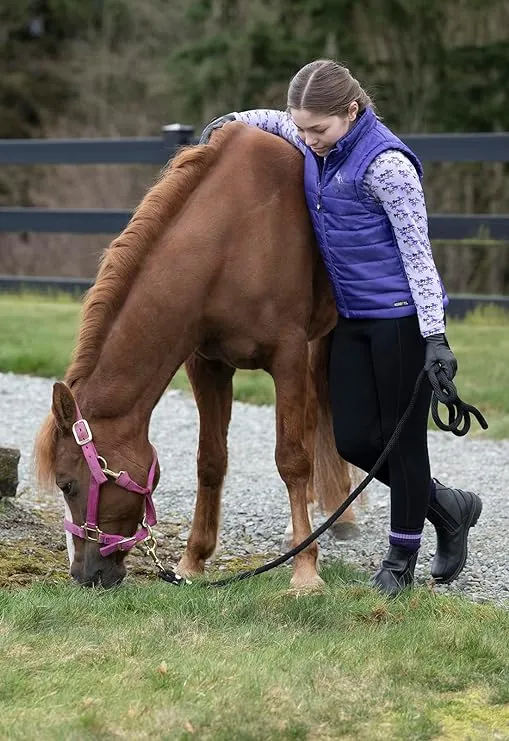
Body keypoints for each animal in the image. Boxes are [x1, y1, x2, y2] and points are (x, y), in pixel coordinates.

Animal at [33, 124, 356, 592]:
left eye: (67, 485)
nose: (84, 574)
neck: (231, 239)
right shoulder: (208, 366)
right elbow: (210, 460)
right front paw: (193, 559)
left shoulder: (288, 358)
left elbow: (292, 459)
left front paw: (305, 570)